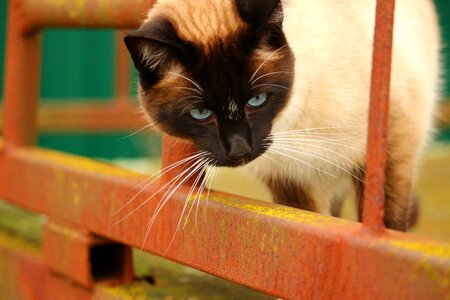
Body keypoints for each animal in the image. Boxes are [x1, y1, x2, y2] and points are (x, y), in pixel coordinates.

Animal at [125, 0, 442, 231]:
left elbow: (385, 222)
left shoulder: (391, 148)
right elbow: (308, 225)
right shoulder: (291, 177)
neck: (291, 128)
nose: (239, 150)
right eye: (200, 113)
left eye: (257, 100)